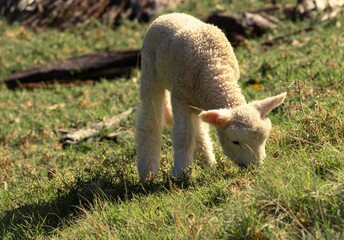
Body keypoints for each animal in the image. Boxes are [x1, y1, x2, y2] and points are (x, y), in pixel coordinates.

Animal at [136, 12, 286, 179]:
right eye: (235, 142)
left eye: (264, 139)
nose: (254, 167)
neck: (214, 67)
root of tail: (169, 14)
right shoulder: (179, 97)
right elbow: (184, 134)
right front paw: (181, 173)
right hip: (150, 72)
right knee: (149, 120)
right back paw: (147, 173)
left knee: (199, 127)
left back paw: (207, 162)